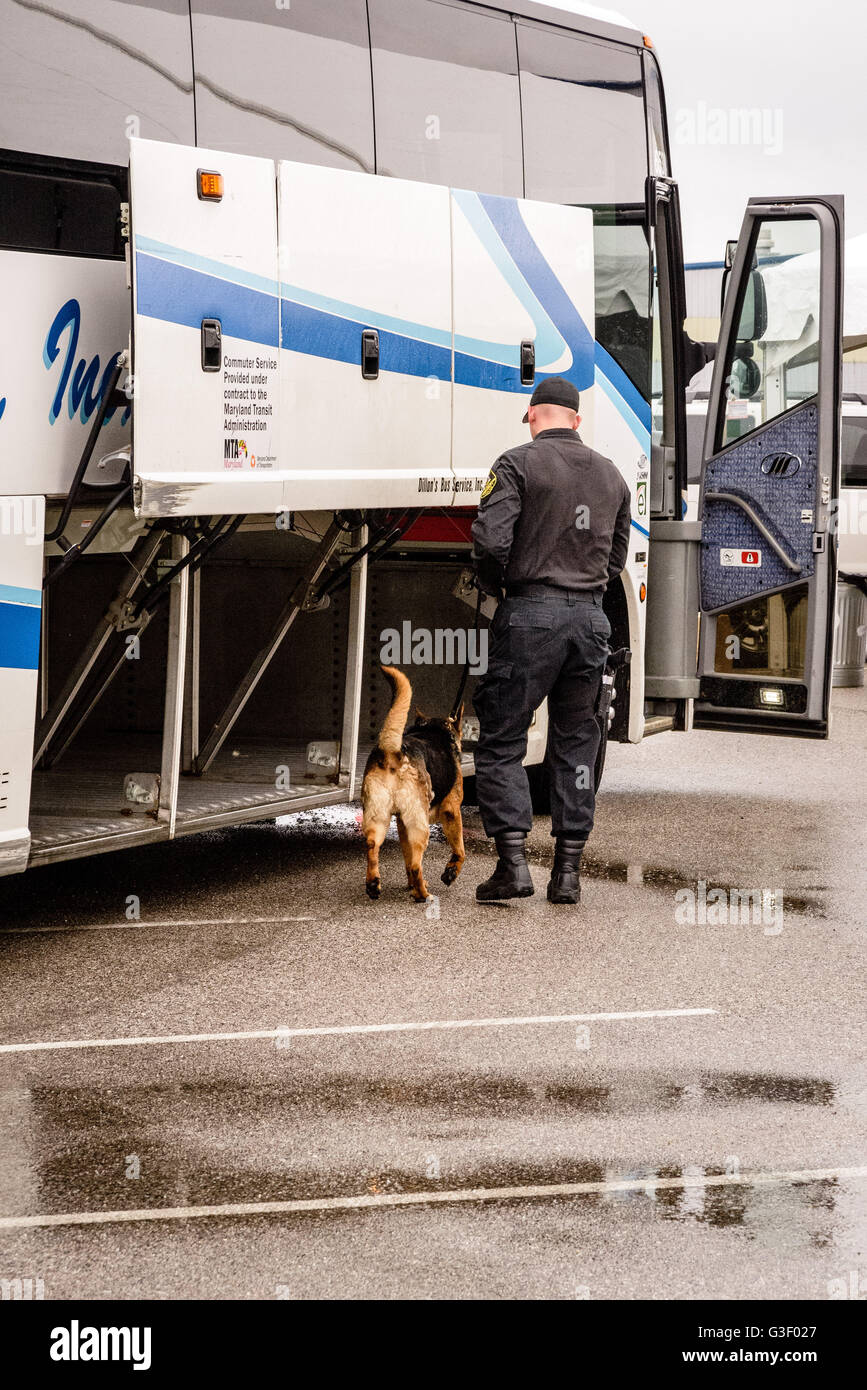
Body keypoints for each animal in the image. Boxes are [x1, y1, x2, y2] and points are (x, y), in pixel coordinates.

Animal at [361, 664, 464, 900]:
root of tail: (393, 752)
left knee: (373, 846)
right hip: (420, 826)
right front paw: (450, 873)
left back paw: (374, 884)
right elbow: (460, 850)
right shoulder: (452, 811)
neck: (434, 729)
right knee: (417, 863)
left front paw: (409, 884)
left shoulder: (401, 822)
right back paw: (422, 894)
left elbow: (406, 859)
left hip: (378, 818)